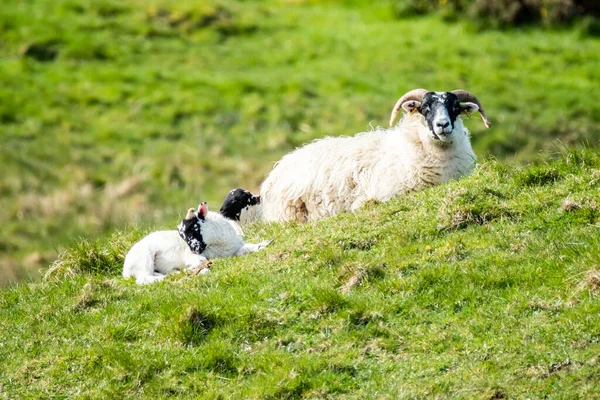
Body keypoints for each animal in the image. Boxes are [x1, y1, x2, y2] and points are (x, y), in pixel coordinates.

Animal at [122, 200, 270, 284]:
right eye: (181, 234)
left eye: (194, 227)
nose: (194, 249)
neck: (219, 244)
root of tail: (126, 270)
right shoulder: (192, 256)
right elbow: (201, 261)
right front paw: (195, 269)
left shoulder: (235, 249)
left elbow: (247, 248)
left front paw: (264, 244)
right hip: (144, 259)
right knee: (143, 279)